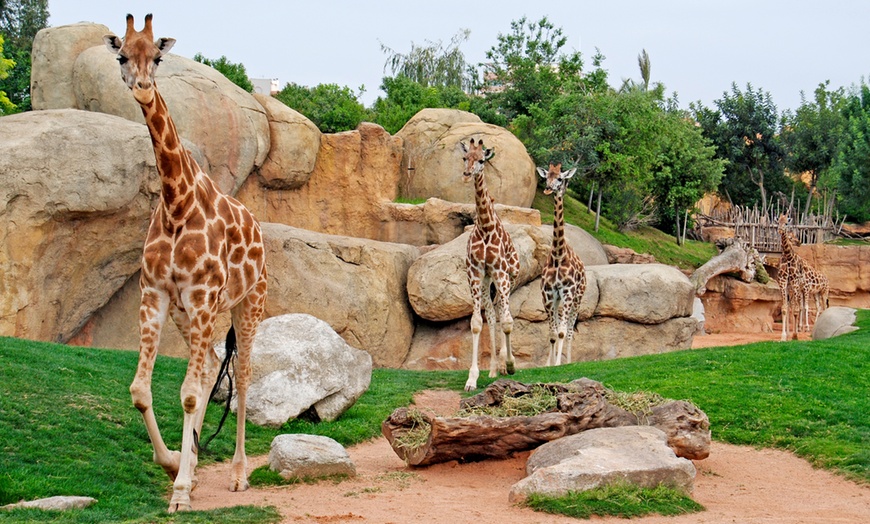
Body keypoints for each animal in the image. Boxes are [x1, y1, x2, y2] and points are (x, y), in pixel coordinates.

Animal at [103, 14, 266, 512]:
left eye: (157, 56)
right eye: (122, 55)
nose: (141, 88)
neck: (177, 202)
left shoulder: (202, 296)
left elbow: (191, 396)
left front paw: (179, 492)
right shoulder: (155, 294)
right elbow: (141, 390)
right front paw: (176, 465)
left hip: (247, 303)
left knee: (243, 377)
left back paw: (237, 474)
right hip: (190, 314)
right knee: (213, 366)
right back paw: (194, 469)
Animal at [536, 163, 588, 364]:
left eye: (560, 178)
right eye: (546, 177)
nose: (548, 188)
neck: (558, 255)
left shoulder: (568, 292)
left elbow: (562, 332)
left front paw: (558, 364)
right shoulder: (548, 294)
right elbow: (552, 333)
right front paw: (548, 365)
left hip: (578, 297)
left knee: (570, 331)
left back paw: (568, 361)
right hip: (558, 300)